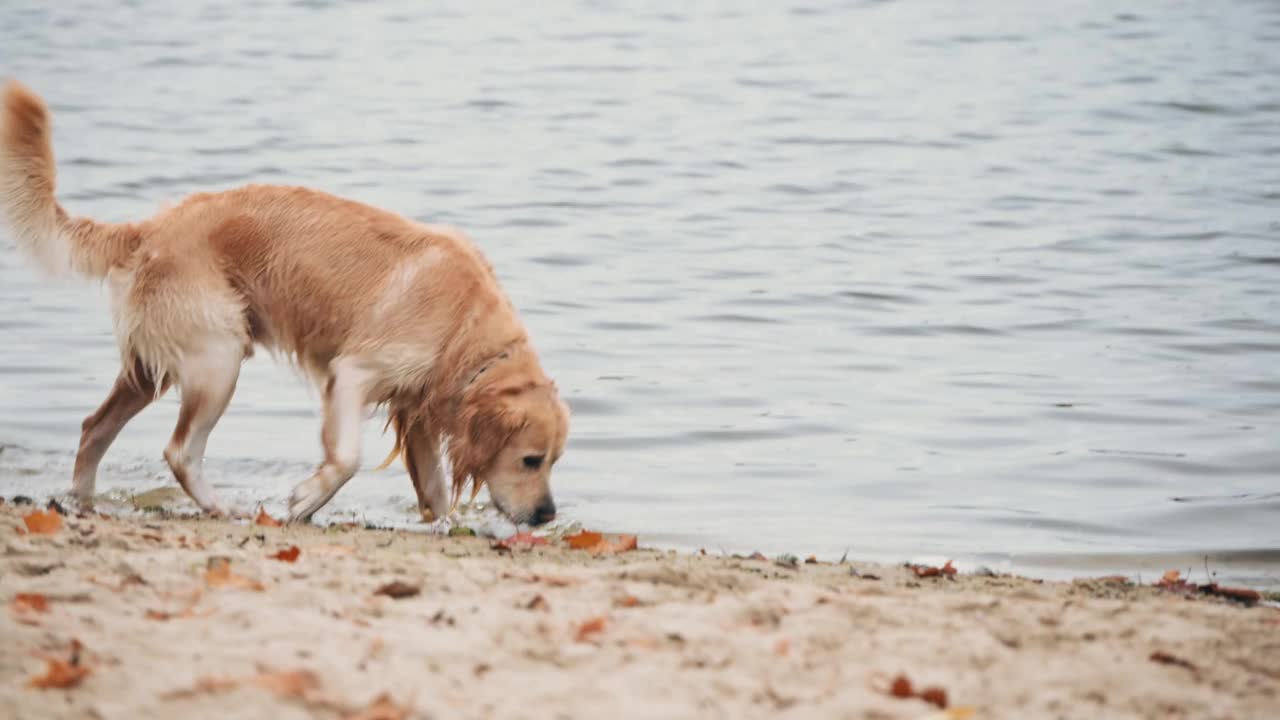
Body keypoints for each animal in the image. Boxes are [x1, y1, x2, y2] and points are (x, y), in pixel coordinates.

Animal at [0, 81, 570, 525]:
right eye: (531, 460)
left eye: (555, 461)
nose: (547, 516)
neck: (463, 325)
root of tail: (150, 228)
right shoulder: (353, 372)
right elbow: (346, 457)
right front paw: (304, 500)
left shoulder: (418, 409)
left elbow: (433, 488)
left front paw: (445, 524)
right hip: (218, 357)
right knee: (179, 450)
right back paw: (219, 506)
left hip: (153, 365)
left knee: (93, 428)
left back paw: (81, 502)